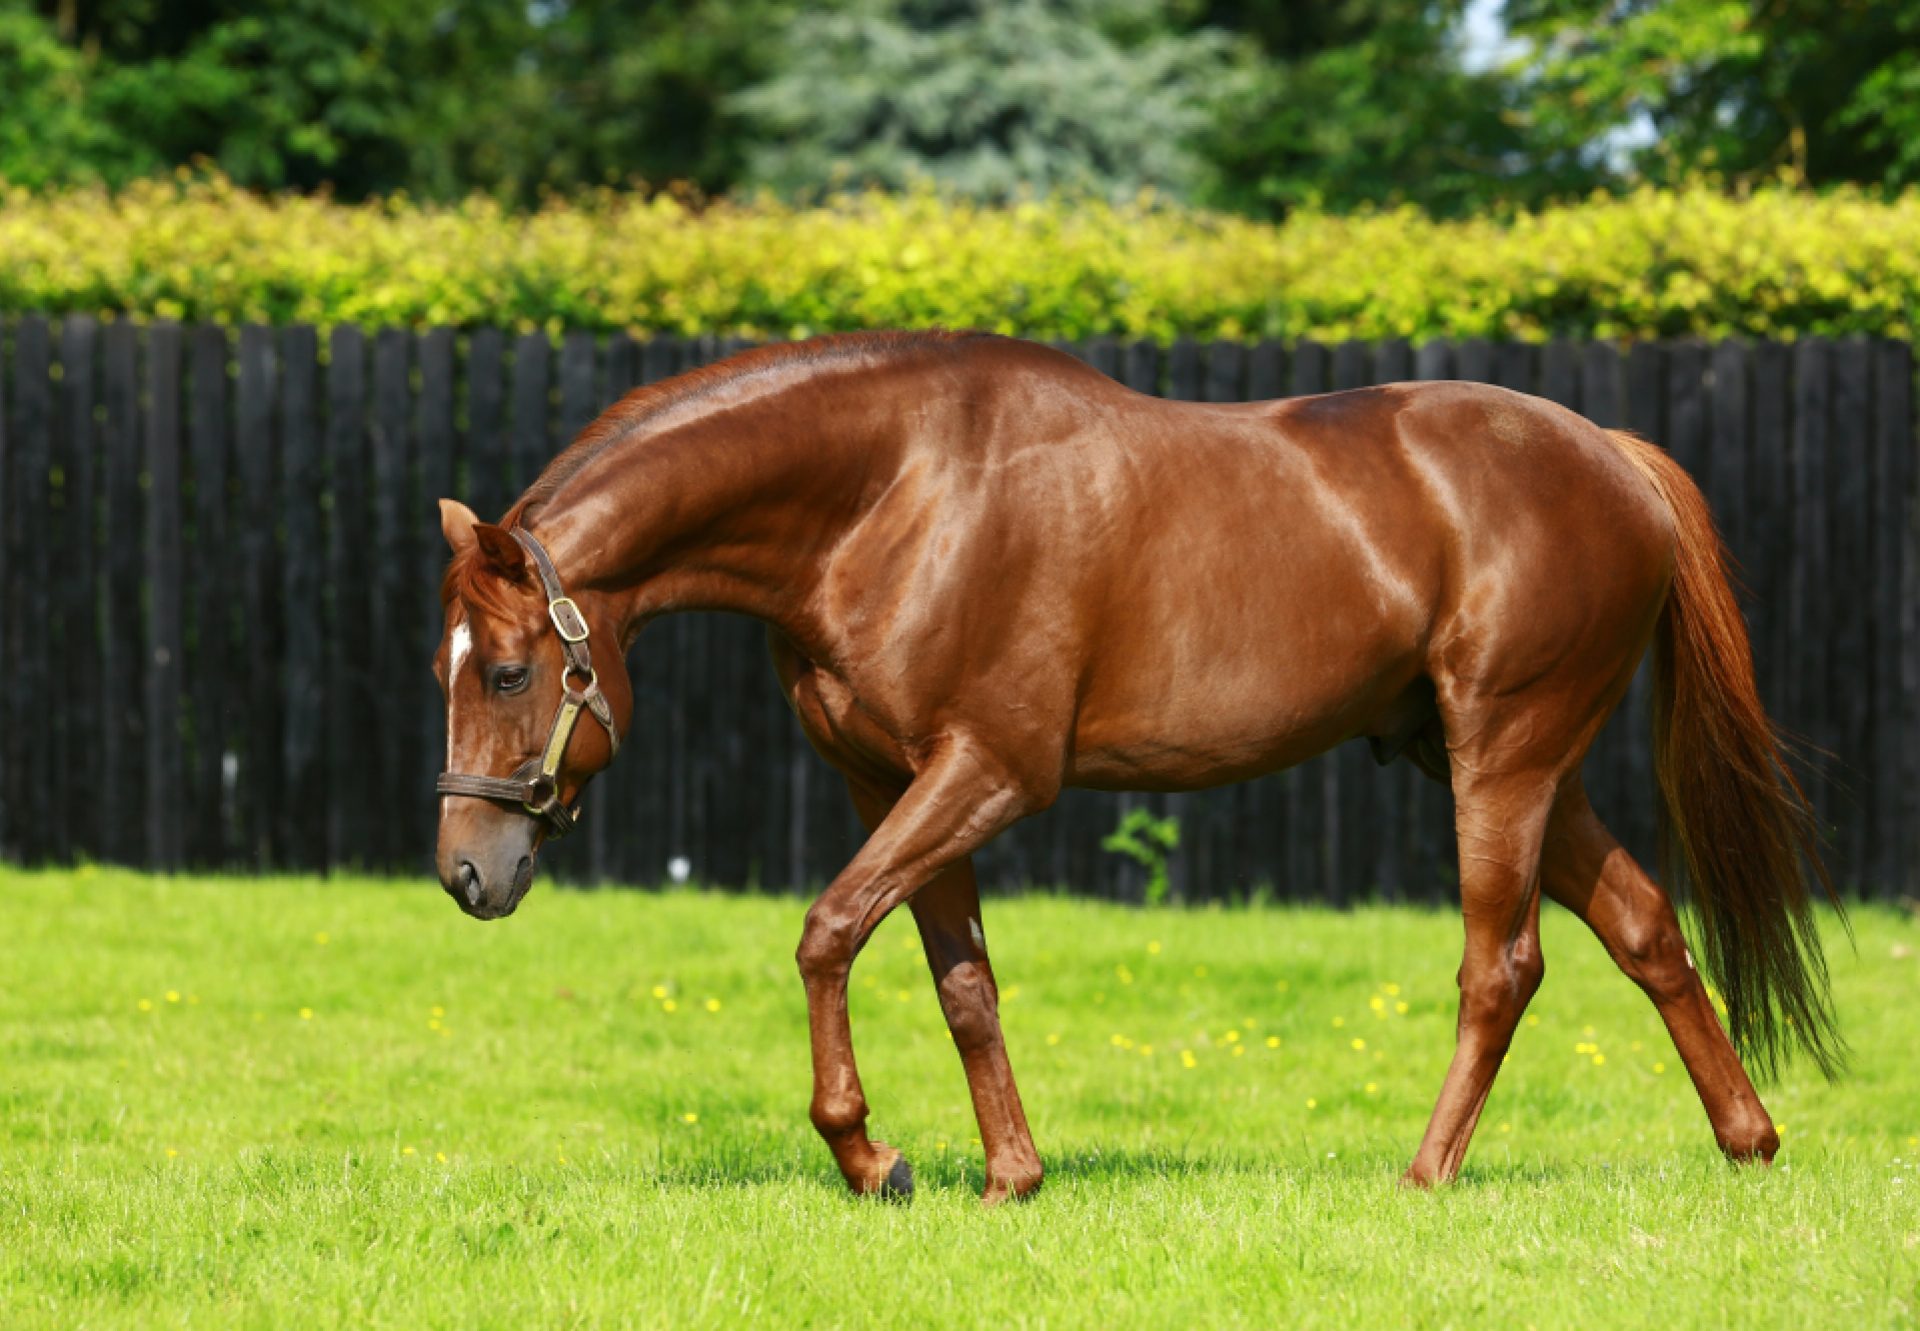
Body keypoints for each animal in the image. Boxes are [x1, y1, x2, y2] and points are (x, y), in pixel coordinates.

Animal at [435, 326, 1843, 1198]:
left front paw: (870, 1157)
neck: (893, 492)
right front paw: (1009, 1176)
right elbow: (963, 982)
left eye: (505, 671)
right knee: (1647, 929)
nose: (465, 871)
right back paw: (1750, 1139)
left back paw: (1428, 1170)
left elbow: (828, 930)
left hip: (1505, 753)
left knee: (1502, 964)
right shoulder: (894, 782)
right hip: (1516, 768)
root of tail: (1615, 456)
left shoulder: (989, 771)